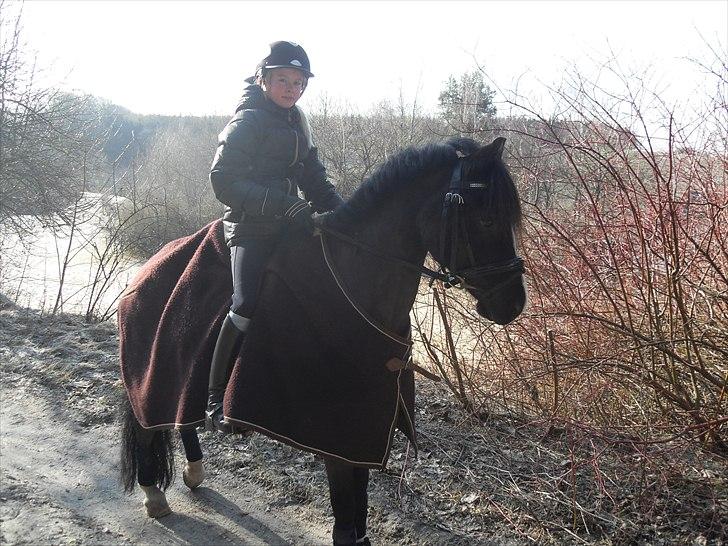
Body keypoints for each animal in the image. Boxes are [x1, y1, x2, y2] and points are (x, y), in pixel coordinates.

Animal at [121, 137, 528, 544]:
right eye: (487, 219)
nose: (513, 303)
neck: (354, 280)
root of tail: (144, 270)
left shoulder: (362, 432)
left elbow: (359, 510)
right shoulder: (334, 439)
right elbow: (346, 517)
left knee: (179, 421)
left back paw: (193, 472)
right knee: (147, 427)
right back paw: (153, 494)